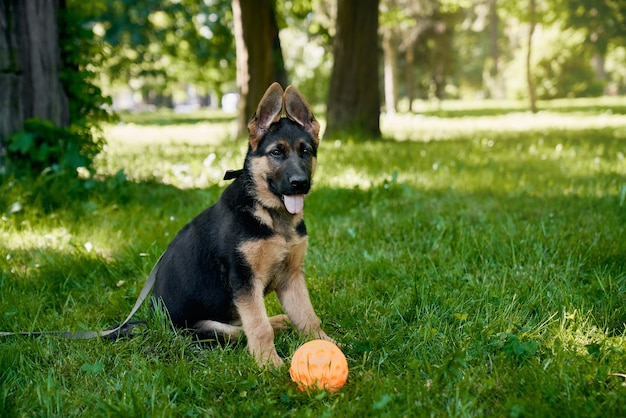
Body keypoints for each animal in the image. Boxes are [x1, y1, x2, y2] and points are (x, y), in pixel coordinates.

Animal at [152, 83, 332, 368]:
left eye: (306, 151)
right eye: (276, 152)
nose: (299, 183)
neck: (270, 213)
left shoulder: (291, 277)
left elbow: (307, 316)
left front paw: (325, 343)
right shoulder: (244, 279)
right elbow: (258, 326)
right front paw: (269, 364)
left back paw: (281, 320)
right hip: (204, 328)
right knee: (238, 331)